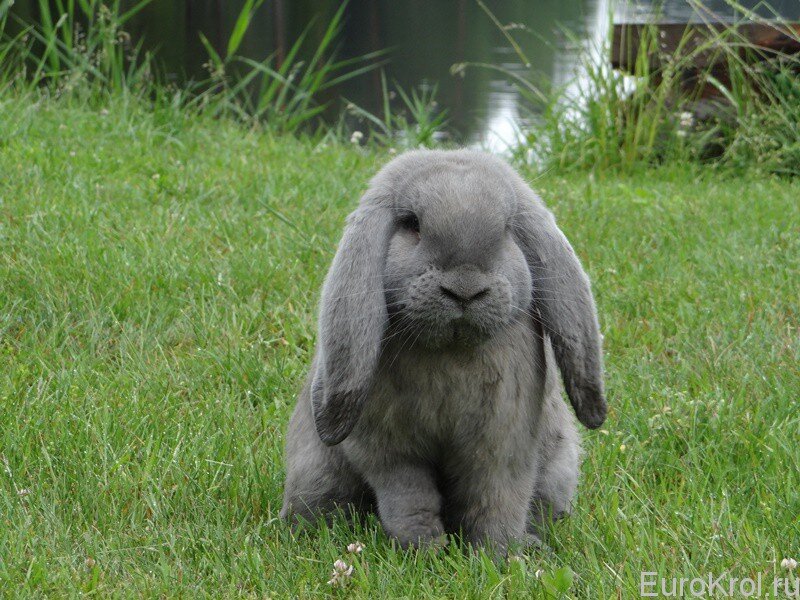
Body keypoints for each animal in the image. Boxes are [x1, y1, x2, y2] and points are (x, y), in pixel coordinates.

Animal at [282, 150, 608, 552]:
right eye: (411, 224)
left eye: (506, 230)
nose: (464, 288)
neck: (451, 350)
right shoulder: (391, 455)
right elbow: (409, 499)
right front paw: (425, 549)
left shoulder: (503, 446)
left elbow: (498, 498)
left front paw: (502, 554)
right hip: (317, 474)